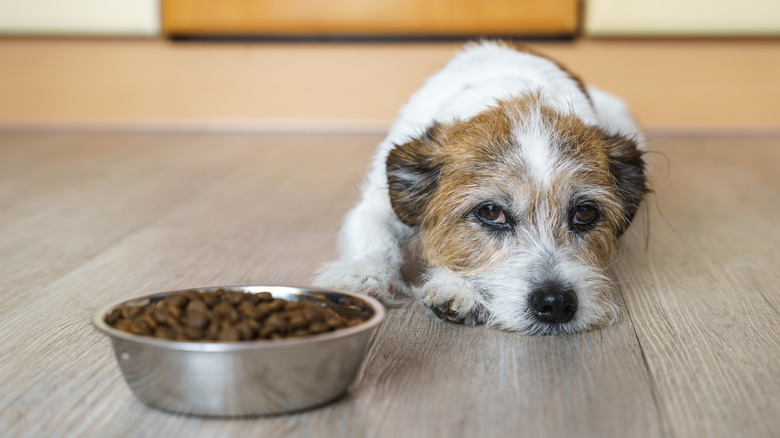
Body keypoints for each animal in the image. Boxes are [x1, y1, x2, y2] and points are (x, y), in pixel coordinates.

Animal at [314, 41, 648, 336]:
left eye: (585, 213)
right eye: (490, 212)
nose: (556, 303)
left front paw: (455, 285)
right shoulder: (378, 202)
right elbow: (375, 235)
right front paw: (362, 274)